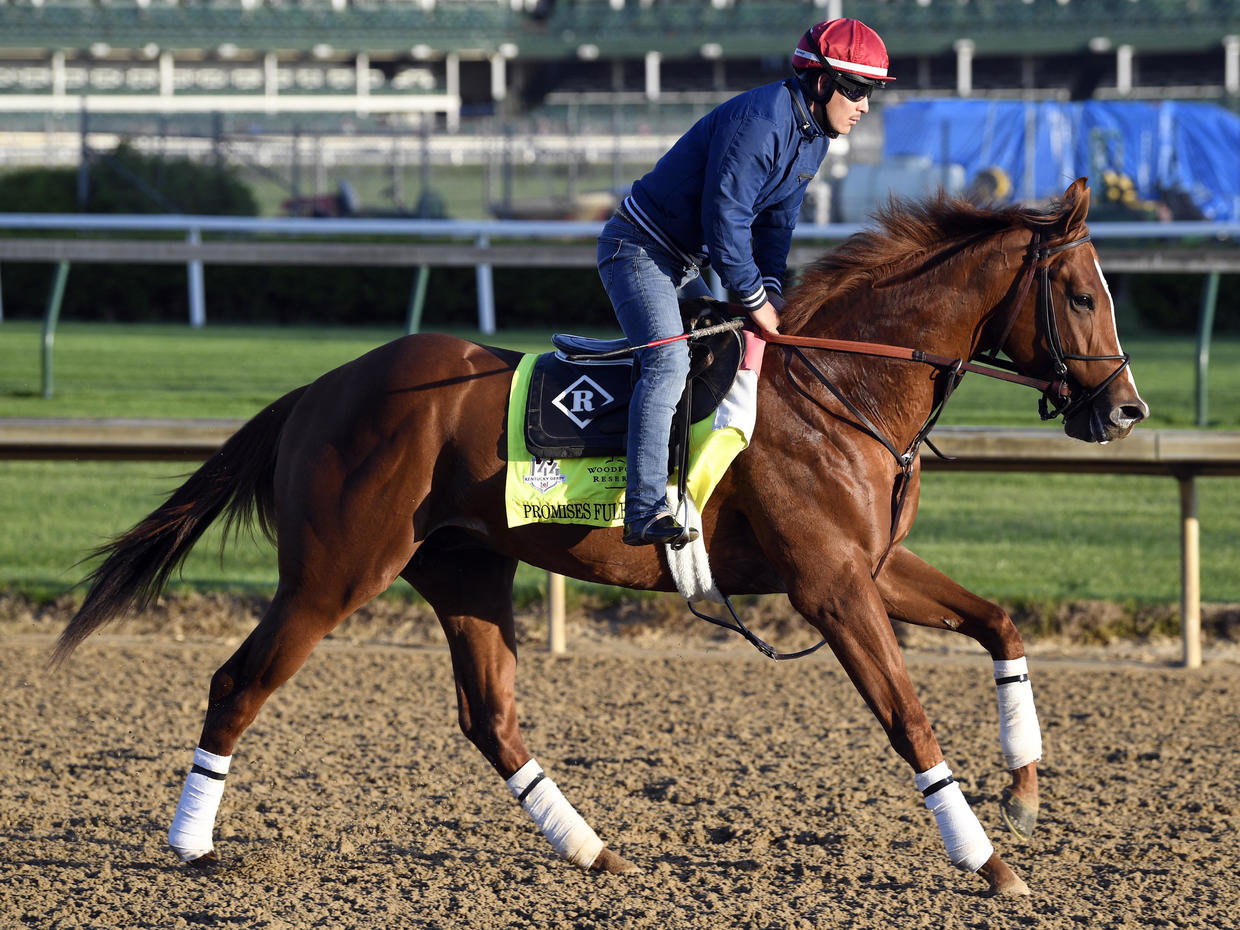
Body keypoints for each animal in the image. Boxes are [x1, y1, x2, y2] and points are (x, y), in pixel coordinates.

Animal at [55, 178, 1140, 897]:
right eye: (1082, 293)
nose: (1124, 410)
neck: (839, 383)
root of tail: (321, 388)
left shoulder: (869, 565)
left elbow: (998, 622)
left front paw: (1025, 787)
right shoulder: (830, 586)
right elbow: (907, 715)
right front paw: (987, 860)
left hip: (464, 571)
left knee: (489, 716)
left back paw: (592, 849)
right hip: (332, 574)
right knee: (238, 682)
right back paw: (192, 844)